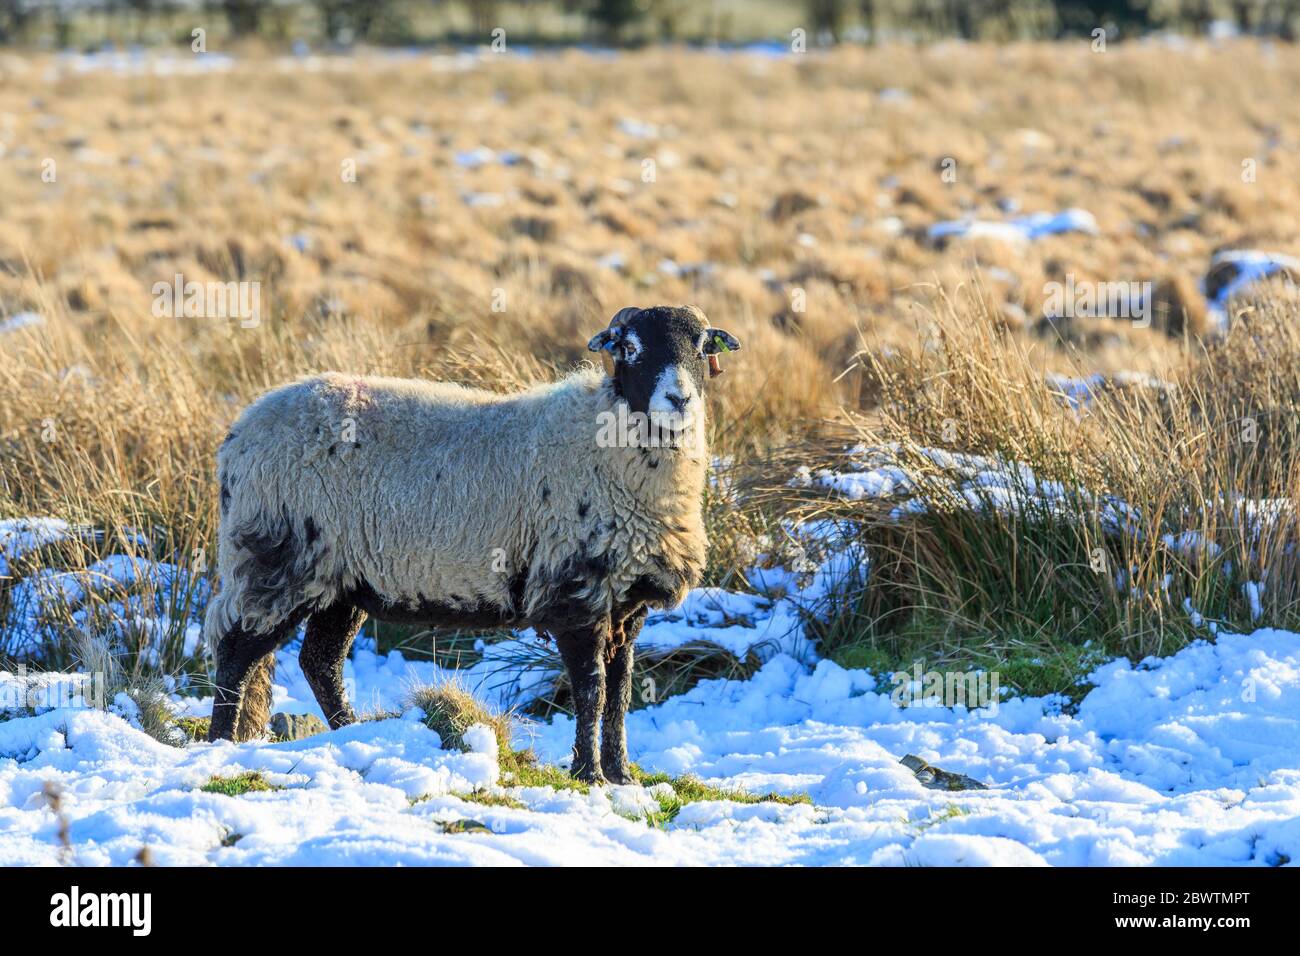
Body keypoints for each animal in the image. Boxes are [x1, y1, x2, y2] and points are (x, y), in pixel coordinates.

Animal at [208, 306, 748, 785]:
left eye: (703, 347)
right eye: (630, 348)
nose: (678, 399)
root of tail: (238, 434)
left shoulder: (627, 604)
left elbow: (620, 693)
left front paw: (621, 776)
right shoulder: (575, 596)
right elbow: (591, 691)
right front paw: (589, 774)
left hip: (341, 579)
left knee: (320, 663)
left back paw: (350, 735)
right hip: (275, 557)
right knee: (236, 649)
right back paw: (220, 742)